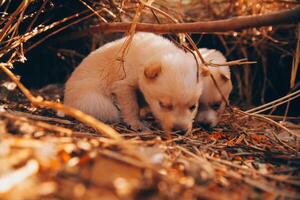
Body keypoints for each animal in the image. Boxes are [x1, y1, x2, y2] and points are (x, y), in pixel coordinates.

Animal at [64, 32, 203, 132]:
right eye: (163, 105)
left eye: (193, 106)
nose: (180, 131)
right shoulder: (123, 85)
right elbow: (131, 106)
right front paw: (137, 124)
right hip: (98, 102)